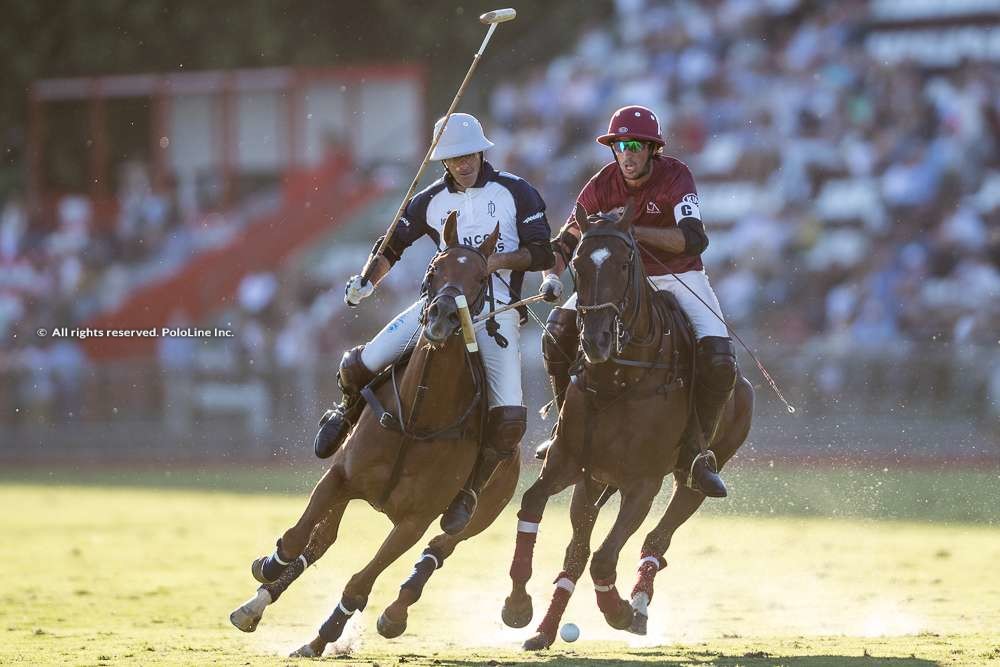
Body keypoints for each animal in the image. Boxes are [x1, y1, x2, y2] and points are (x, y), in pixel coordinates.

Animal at [229, 215, 520, 656]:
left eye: (481, 277)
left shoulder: (415, 520)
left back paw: (389, 616)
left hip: (484, 512)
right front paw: (268, 565)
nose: (442, 316)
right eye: (434, 270)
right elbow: (298, 538)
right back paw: (255, 606)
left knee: (440, 547)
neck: (418, 415)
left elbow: (359, 585)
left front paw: (326, 635)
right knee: (321, 539)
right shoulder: (341, 477)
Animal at [500, 202, 752, 648]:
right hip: (595, 480)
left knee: (658, 536)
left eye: (623, 262)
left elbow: (605, 559)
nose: (596, 341)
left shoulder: (643, 482)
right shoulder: (570, 462)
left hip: (698, 472)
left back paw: (637, 606)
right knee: (576, 553)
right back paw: (546, 631)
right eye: (578, 263)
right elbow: (532, 506)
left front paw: (618, 611)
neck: (617, 379)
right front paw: (517, 606)